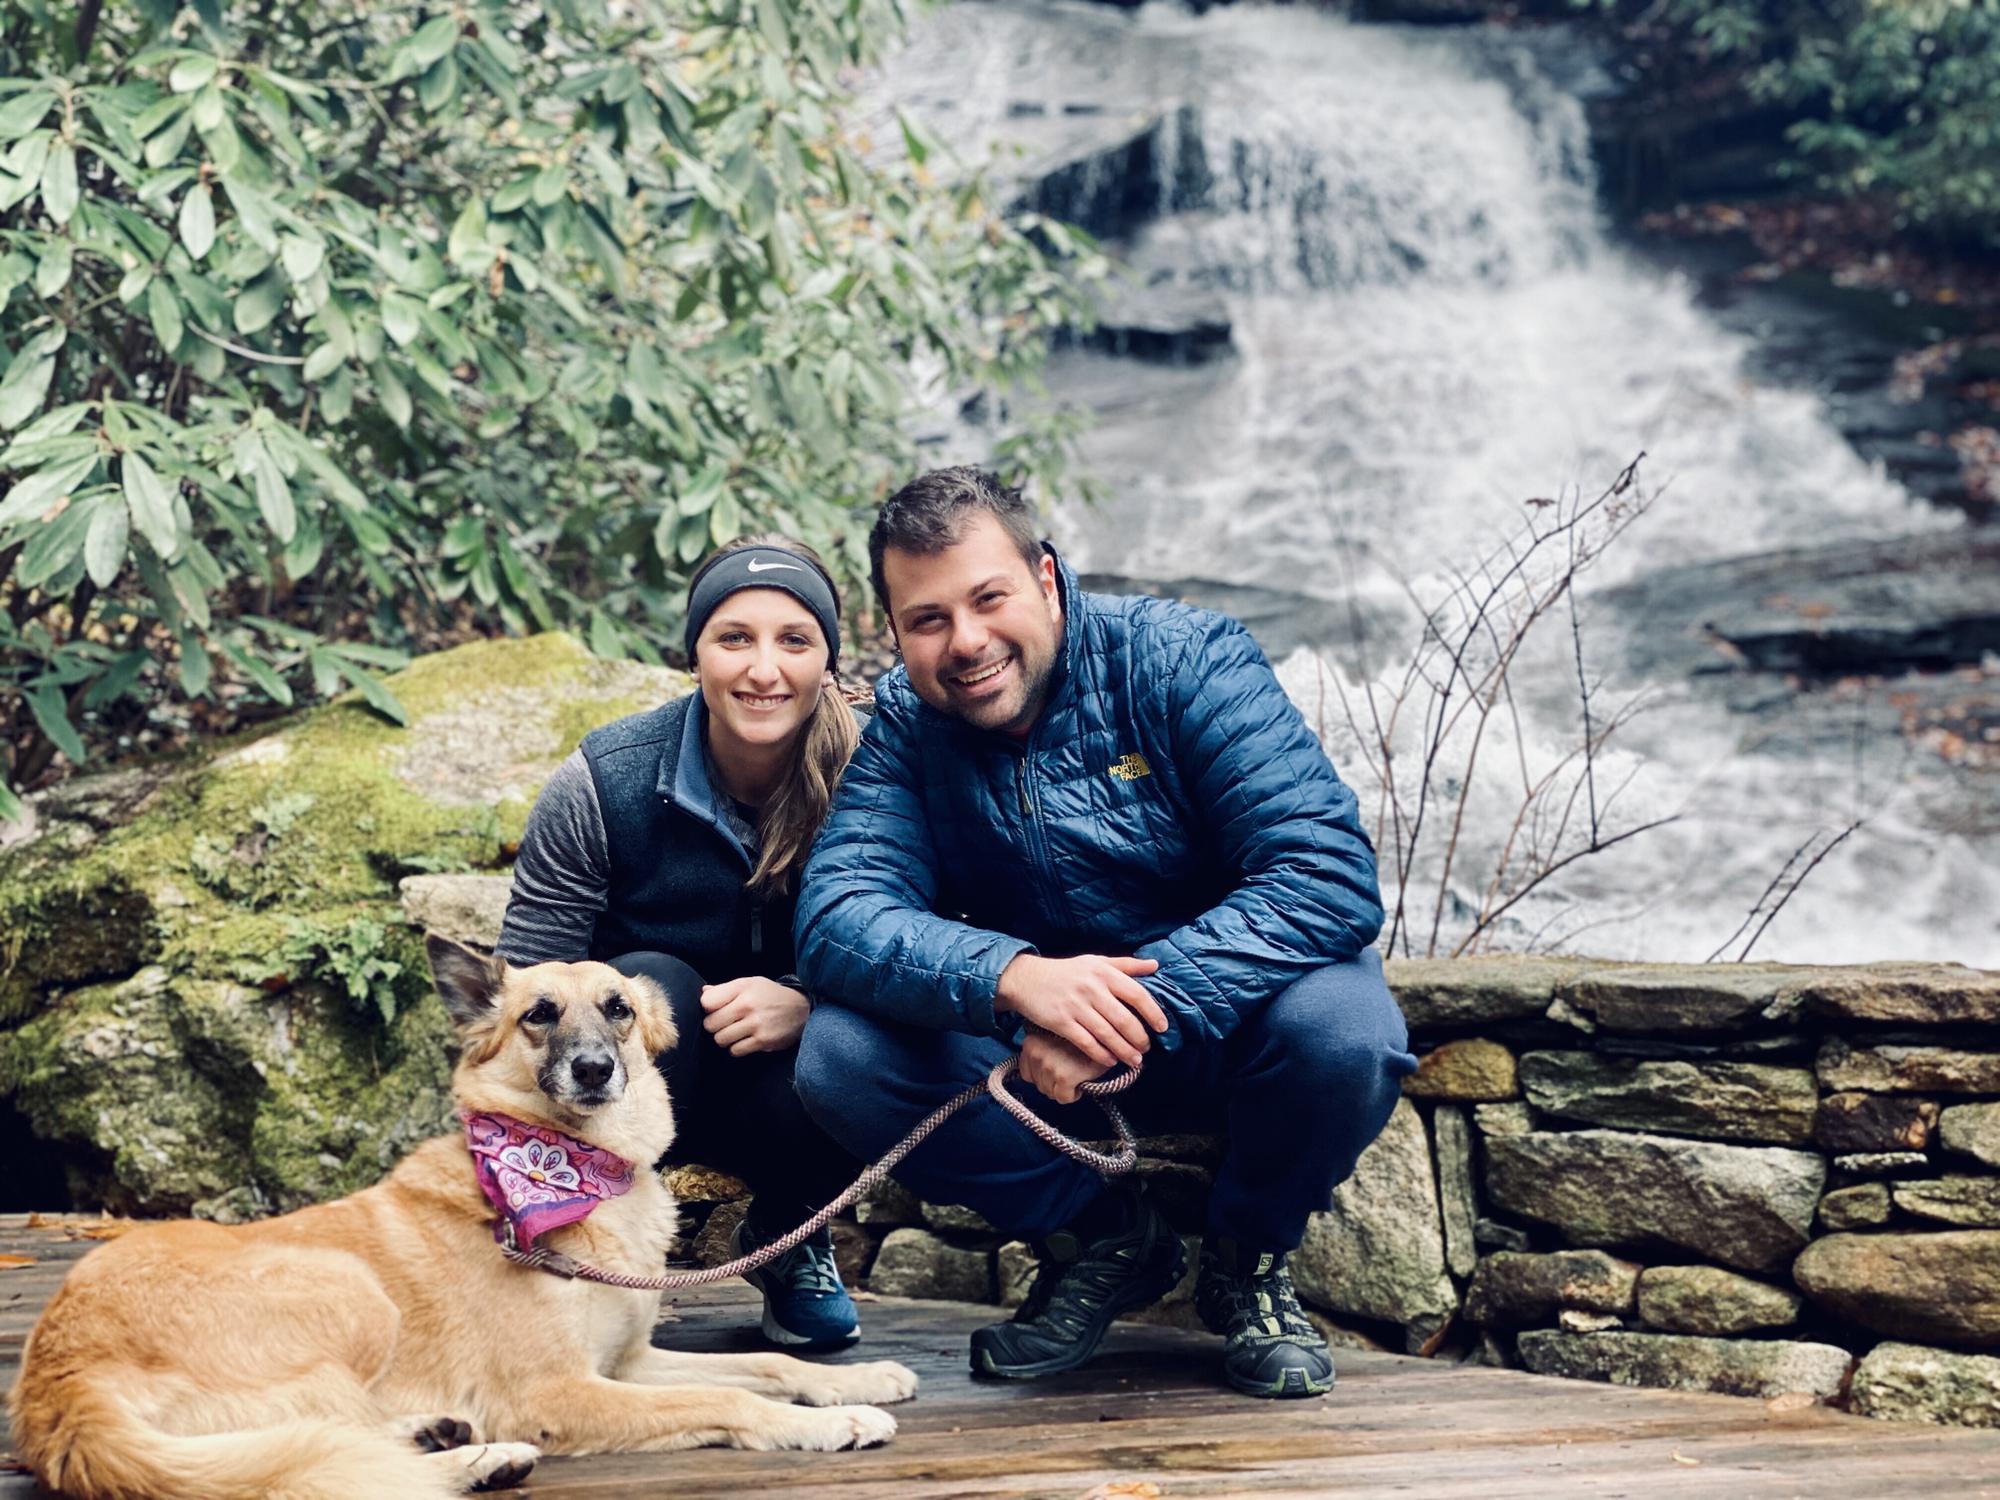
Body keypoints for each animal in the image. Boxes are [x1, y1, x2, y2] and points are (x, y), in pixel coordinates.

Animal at [11, 940, 916, 1500]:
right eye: (539, 1015)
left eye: (617, 1009)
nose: (595, 1070)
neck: (571, 1169)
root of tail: (56, 1380)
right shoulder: (560, 1392)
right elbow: (731, 1399)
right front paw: (832, 1422)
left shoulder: (623, 1365)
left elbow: (765, 1363)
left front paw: (857, 1381)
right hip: (352, 1292)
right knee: (317, 1457)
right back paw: (472, 1455)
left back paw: (453, 1445)